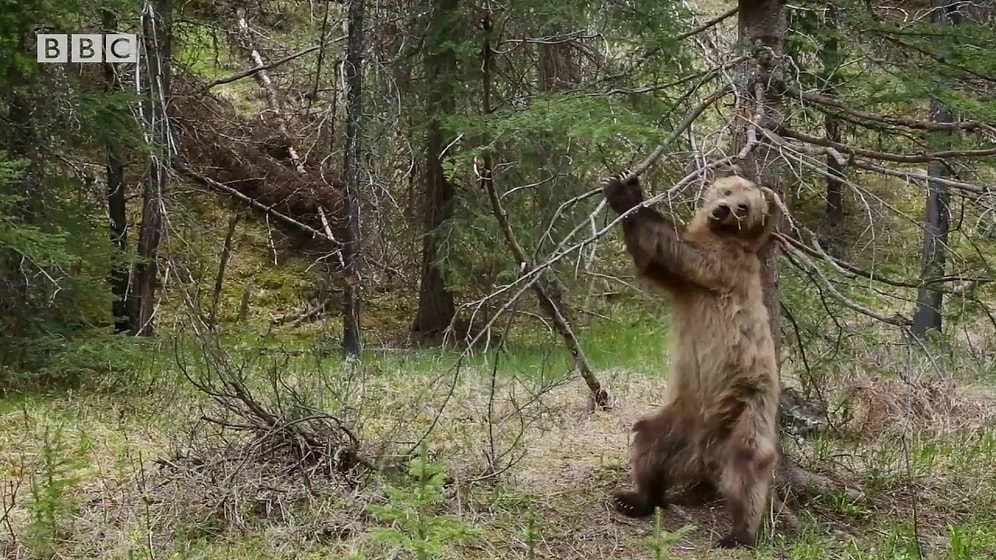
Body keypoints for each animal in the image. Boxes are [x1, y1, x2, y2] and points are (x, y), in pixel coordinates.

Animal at [601, 170, 782, 549]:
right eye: (726, 190)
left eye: (744, 207)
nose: (722, 210)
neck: (721, 236)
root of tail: (705, 455)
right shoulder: (684, 287)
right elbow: (654, 264)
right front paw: (628, 185)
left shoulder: (720, 265)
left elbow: (673, 251)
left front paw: (625, 196)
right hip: (679, 418)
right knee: (647, 441)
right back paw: (635, 498)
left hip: (749, 407)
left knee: (748, 467)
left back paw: (739, 533)